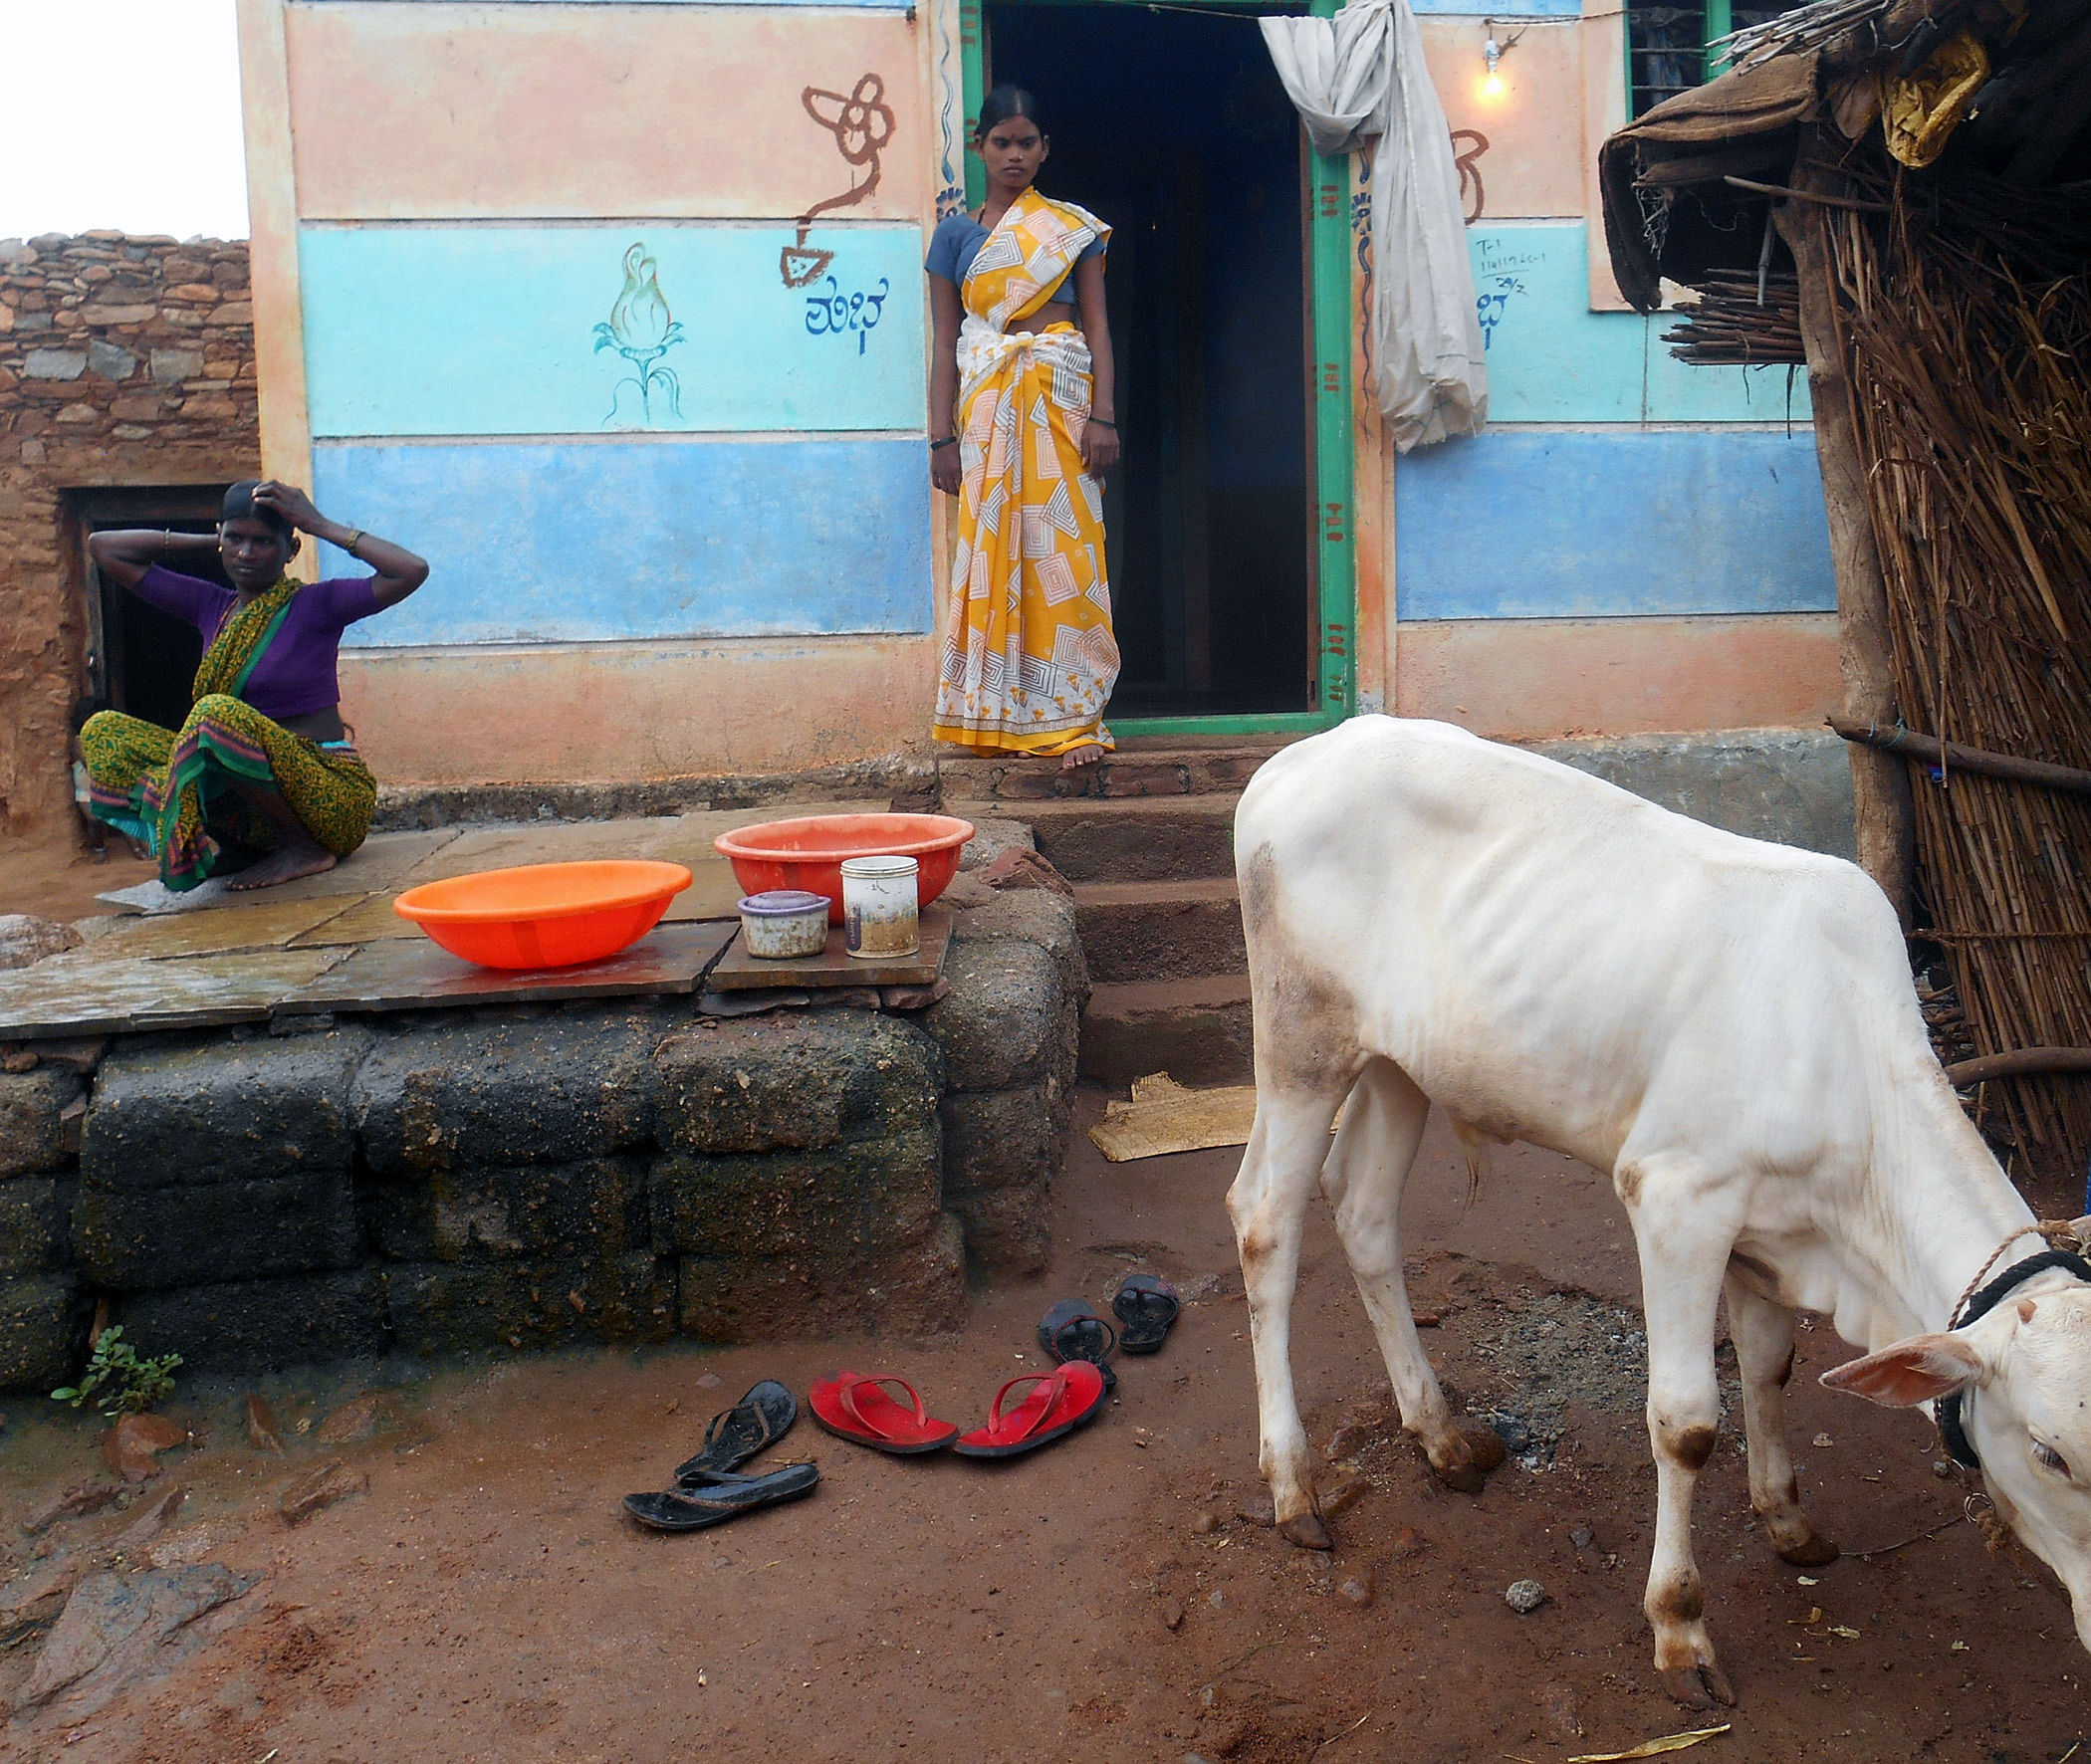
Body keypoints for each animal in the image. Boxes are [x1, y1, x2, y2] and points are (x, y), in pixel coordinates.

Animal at [1229, 715, 2091, 1705]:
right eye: (2051, 1452)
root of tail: (1310, 749)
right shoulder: (1677, 1199)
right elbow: (1686, 1425)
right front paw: (1680, 1629)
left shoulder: (1767, 1232)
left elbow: (1769, 1367)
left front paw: (1787, 1520)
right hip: (1300, 1042)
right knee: (1265, 1220)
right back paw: (1292, 1485)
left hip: (1402, 1063)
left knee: (1364, 1210)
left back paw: (1440, 1436)